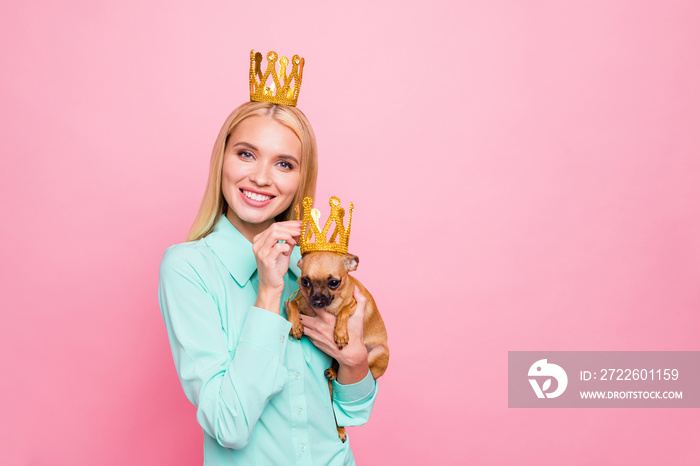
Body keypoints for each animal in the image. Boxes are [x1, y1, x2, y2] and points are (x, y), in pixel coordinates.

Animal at [288, 251, 392, 440]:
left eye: (334, 283)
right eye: (305, 281)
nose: (317, 301)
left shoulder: (354, 304)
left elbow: (343, 310)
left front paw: (341, 334)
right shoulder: (301, 301)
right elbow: (292, 304)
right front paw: (295, 325)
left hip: (377, 354)